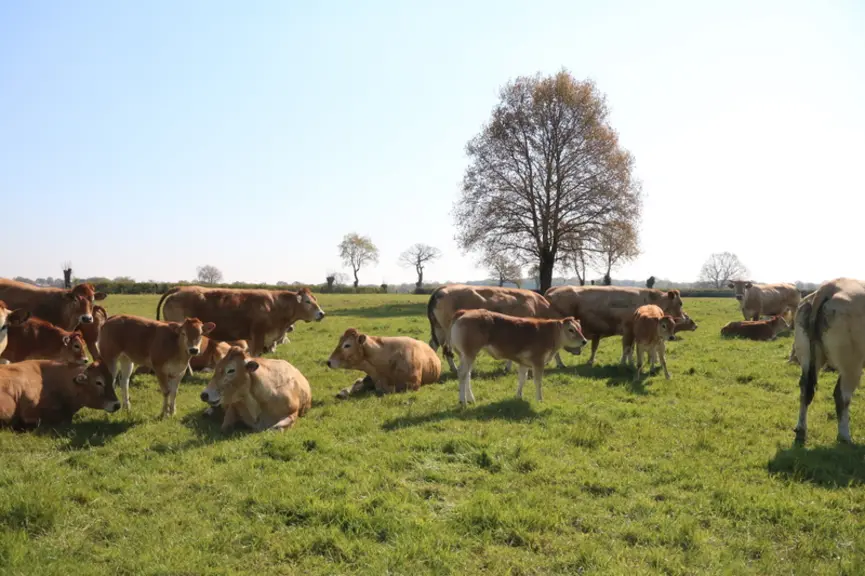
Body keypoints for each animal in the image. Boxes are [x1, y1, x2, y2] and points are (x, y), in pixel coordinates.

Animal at [156, 286, 324, 356]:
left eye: (315, 299)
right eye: (308, 301)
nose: (321, 313)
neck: (274, 305)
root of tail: (179, 289)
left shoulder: (251, 338)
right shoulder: (258, 336)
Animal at [427, 284, 566, 373]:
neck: (537, 305)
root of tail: (441, 289)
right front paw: (560, 363)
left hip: (439, 329)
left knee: (433, 345)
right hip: (447, 330)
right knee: (446, 349)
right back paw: (454, 369)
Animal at [449, 309, 587, 405]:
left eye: (580, 328)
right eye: (571, 330)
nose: (584, 341)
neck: (549, 333)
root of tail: (465, 312)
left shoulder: (524, 363)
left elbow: (522, 379)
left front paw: (518, 396)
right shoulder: (538, 361)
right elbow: (538, 381)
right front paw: (539, 399)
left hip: (466, 355)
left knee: (467, 374)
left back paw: (471, 398)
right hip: (469, 353)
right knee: (462, 374)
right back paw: (463, 401)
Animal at [545, 286, 685, 367]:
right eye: (680, 303)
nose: (684, 317)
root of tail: (552, 290)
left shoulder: (633, 333)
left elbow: (631, 348)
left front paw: (630, 362)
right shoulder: (628, 330)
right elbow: (627, 348)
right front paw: (623, 363)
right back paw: (560, 364)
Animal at [793, 278, 865, 444]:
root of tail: (830, 286)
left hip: (808, 359)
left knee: (804, 389)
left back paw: (801, 428)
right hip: (851, 365)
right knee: (841, 396)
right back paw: (845, 436)